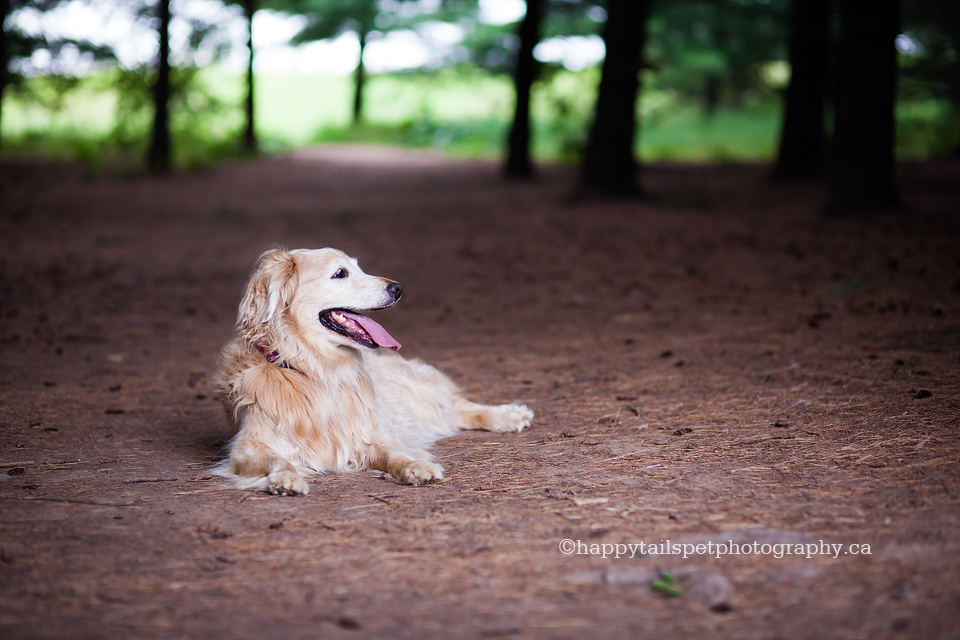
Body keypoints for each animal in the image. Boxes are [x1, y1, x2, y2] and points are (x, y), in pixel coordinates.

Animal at [214, 249, 536, 496]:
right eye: (340, 273)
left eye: (359, 267)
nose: (398, 288)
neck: (312, 368)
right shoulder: (247, 448)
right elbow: (276, 460)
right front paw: (285, 478)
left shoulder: (371, 434)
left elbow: (396, 453)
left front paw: (416, 466)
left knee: (457, 405)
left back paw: (509, 415)